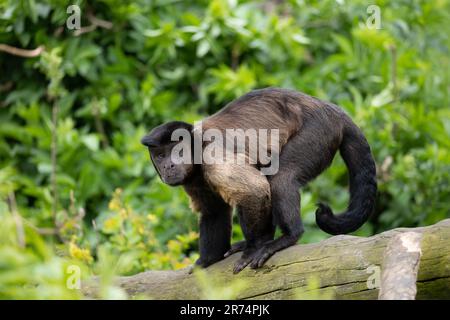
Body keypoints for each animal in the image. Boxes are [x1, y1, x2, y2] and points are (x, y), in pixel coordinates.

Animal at [141, 87, 376, 272]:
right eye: (160, 156)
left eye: (178, 151)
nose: (168, 166)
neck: (197, 149)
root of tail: (332, 110)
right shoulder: (193, 180)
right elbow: (214, 211)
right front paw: (207, 261)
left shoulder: (213, 156)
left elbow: (254, 191)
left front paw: (254, 248)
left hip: (319, 131)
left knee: (281, 177)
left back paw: (286, 237)